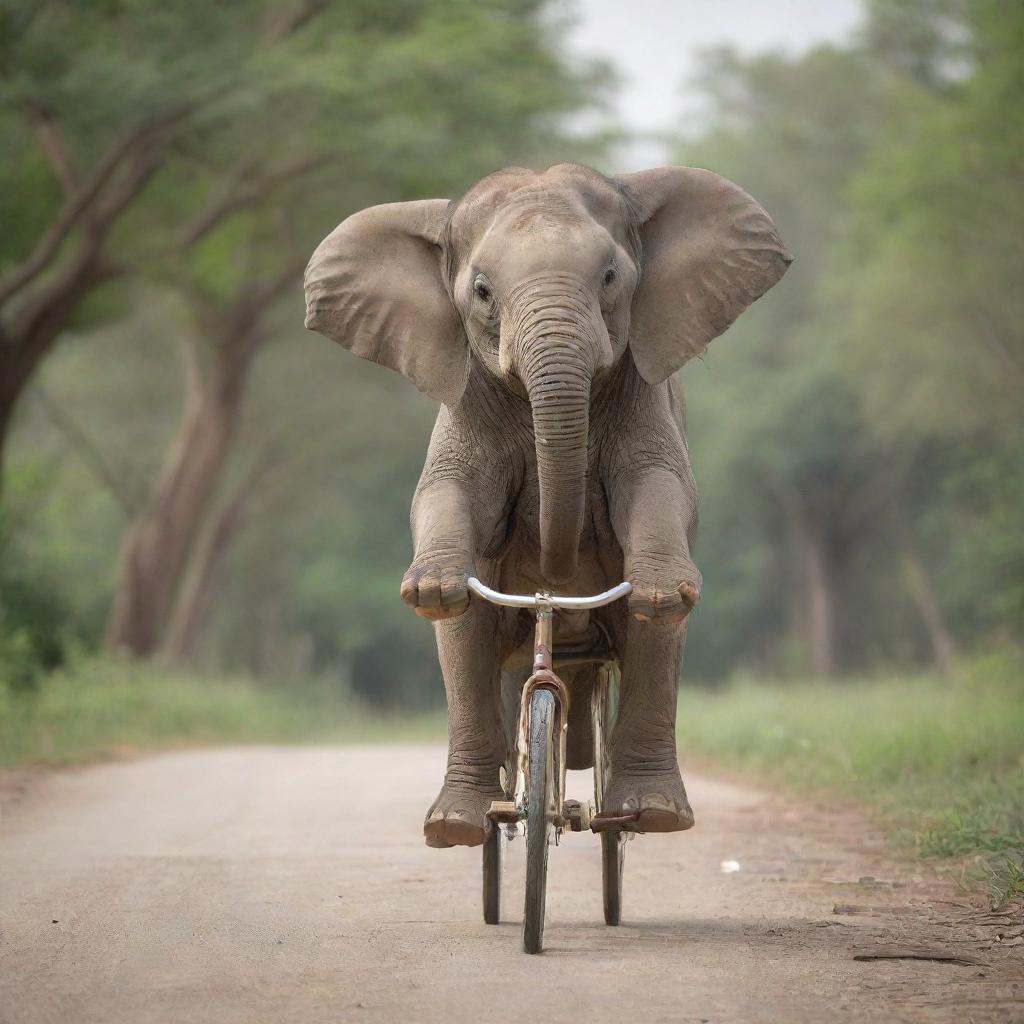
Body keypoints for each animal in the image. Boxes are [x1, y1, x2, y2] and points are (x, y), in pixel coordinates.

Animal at [303, 161, 790, 847]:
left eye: (611, 276)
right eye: (481, 291)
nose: (556, 574)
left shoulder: (646, 388)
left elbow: (661, 483)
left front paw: (662, 585)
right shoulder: (464, 393)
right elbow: (444, 489)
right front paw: (430, 584)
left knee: (655, 634)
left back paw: (653, 811)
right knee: (463, 634)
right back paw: (459, 821)